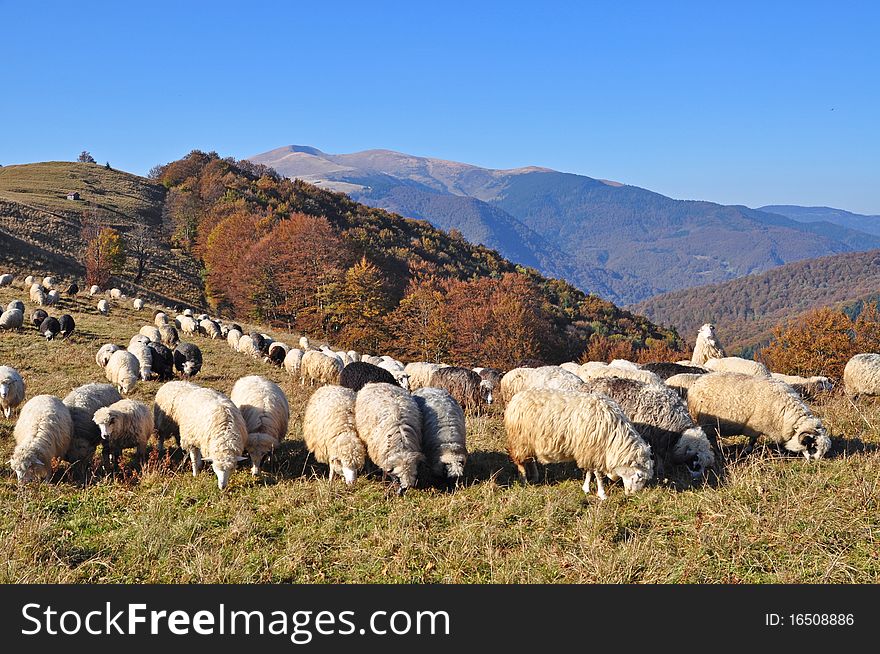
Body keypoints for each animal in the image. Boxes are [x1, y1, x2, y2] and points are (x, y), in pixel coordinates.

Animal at [502, 386, 652, 500]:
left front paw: (586, 488)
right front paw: (602, 494)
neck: (614, 435)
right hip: (519, 440)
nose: (633, 496)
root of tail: (516, 397)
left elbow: (589, 472)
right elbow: (598, 475)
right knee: (521, 462)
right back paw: (524, 481)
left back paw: (535, 477)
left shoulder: (589, 450)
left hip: (529, 442)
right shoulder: (594, 450)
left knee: (531, 459)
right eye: (638, 477)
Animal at [580, 376, 720, 480]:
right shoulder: (649, 436)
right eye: (695, 460)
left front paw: (661, 470)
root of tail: (587, 384)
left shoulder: (660, 438)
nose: (698, 478)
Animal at [688, 374, 832, 462]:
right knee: (712, 440)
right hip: (708, 424)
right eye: (813, 446)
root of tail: (695, 385)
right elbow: (753, 440)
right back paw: (718, 454)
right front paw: (749, 451)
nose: (816, 462)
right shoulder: (758, 426)